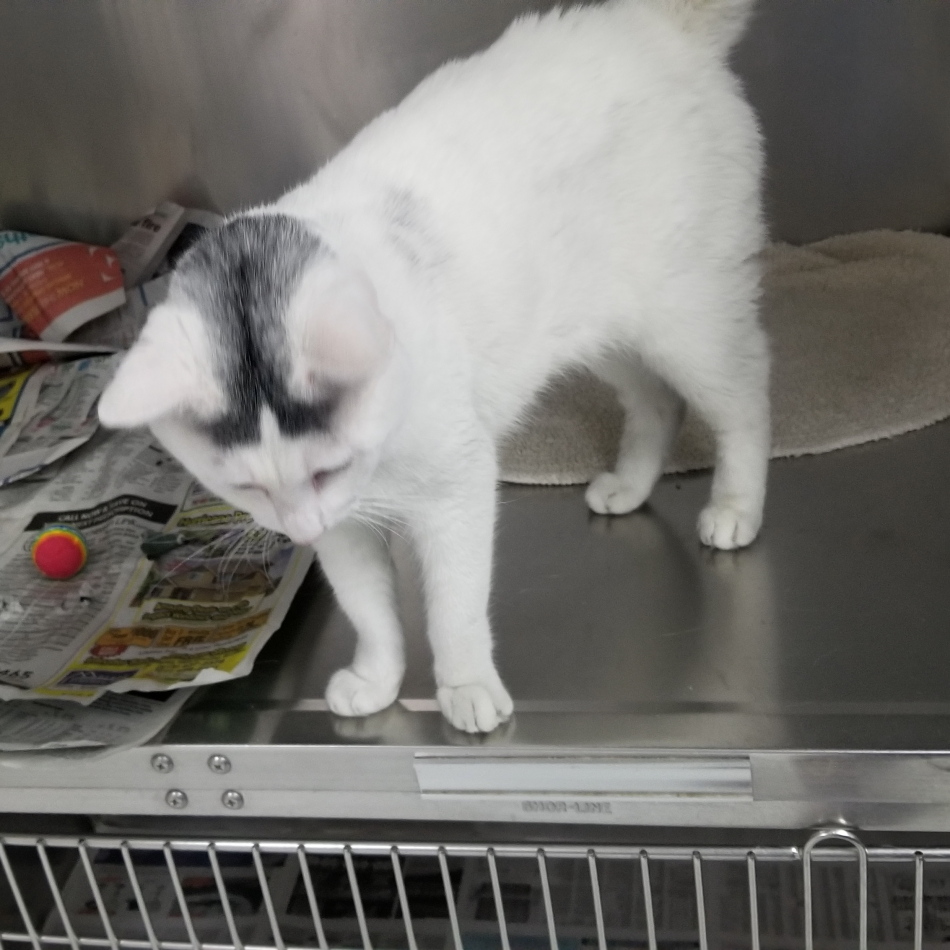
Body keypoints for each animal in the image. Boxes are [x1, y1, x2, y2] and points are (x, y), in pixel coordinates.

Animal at [99, 0, 768, 733]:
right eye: (245, 488)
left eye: (327, 469)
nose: (301, 530)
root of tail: (656, 27)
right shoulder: (346, 531)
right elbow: (369, 609)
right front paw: (378, 678)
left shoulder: (458, 489)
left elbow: (453, 608)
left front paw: (465, 684)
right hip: (605, 330)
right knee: (658, 402)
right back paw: (630, 485)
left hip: (685, 318)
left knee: (747, 393)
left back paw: (735, 508)